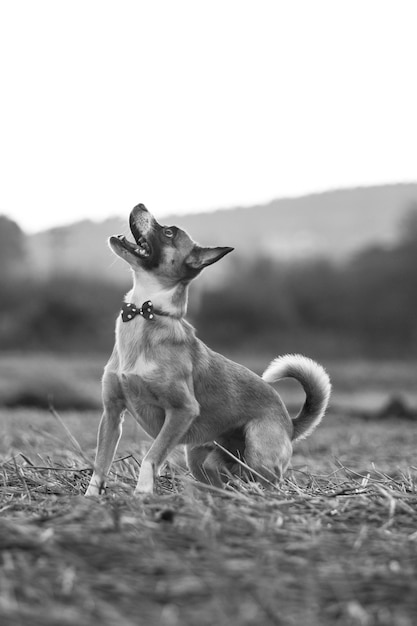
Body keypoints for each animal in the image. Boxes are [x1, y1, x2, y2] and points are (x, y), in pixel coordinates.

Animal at [85, 202, 332, 494]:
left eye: (169, 233)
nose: (140, 204)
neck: (146, 313)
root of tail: (290, 424)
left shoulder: (183, 411)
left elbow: (151, 457)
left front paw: (143, 491)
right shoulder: (112, 414)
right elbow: (101, 464)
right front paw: (90, 497)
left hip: (257, 450)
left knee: (269, 481)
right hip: (198, 457)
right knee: (224, 477)